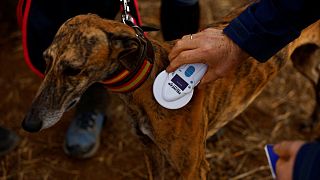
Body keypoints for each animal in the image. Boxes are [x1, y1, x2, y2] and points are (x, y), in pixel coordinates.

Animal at [21, 14, 318, 180]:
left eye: (73, 69)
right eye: (45, 60)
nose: (29, 124)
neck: (146, 78)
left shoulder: (193, 169)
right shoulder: (151, 151)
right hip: (303, 60)